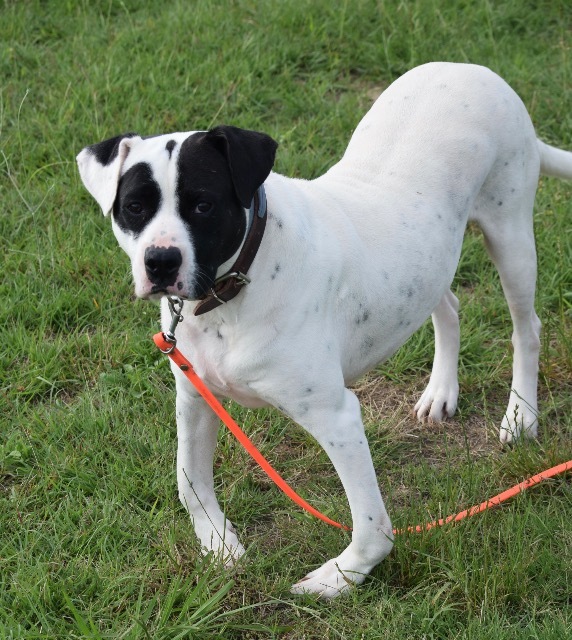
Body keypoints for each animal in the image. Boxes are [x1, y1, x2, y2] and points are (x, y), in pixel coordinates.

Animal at [77, 62, 572, 596]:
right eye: (134, 207)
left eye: (203, 205)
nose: (161, 262)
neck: (237, 287)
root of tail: (474, 69)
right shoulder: (195, 395)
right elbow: (188, 480)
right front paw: (219, 544)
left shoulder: (336, 417)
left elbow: (373, 525)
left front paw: (342, 576)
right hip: (429, 258)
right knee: (449, 305)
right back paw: (441, 392)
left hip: (510, 234)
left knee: (527, 328)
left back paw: (520, 416)